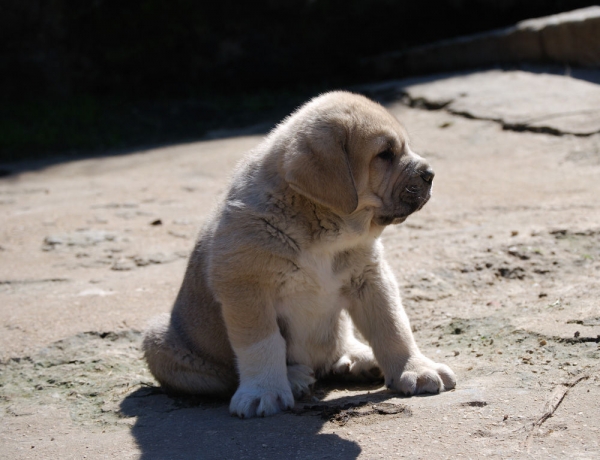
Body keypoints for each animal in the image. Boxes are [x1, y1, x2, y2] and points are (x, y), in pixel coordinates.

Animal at [144, 91, 454, 418]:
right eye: (385, 154)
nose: (430, 174)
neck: (322, 232)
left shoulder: (371, 278)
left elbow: (393, 327)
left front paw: (416, 369)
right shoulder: (245, 288)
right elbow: (262, 343)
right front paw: (263, 391)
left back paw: (358, 358)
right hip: (159, 342)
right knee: (227, 376)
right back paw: (293, 378)